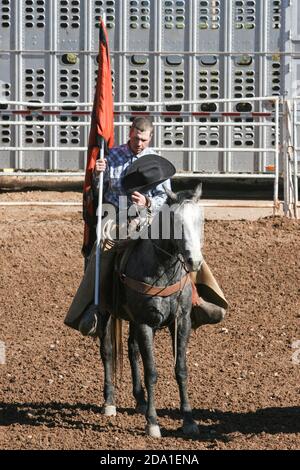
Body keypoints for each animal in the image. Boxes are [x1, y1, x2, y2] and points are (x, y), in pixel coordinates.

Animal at [98, 185, 204, 438]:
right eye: (176, 222)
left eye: (200, 220)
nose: (194, 261)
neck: (163, 269)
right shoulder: (146, 323)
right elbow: (152, 372)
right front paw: (153, 423)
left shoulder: (181, 322)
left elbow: (181, 369)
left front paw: (189, 420)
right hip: (107, 312)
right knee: (107, 350)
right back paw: (109, 402)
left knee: (132, 350)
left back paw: (140, 400)